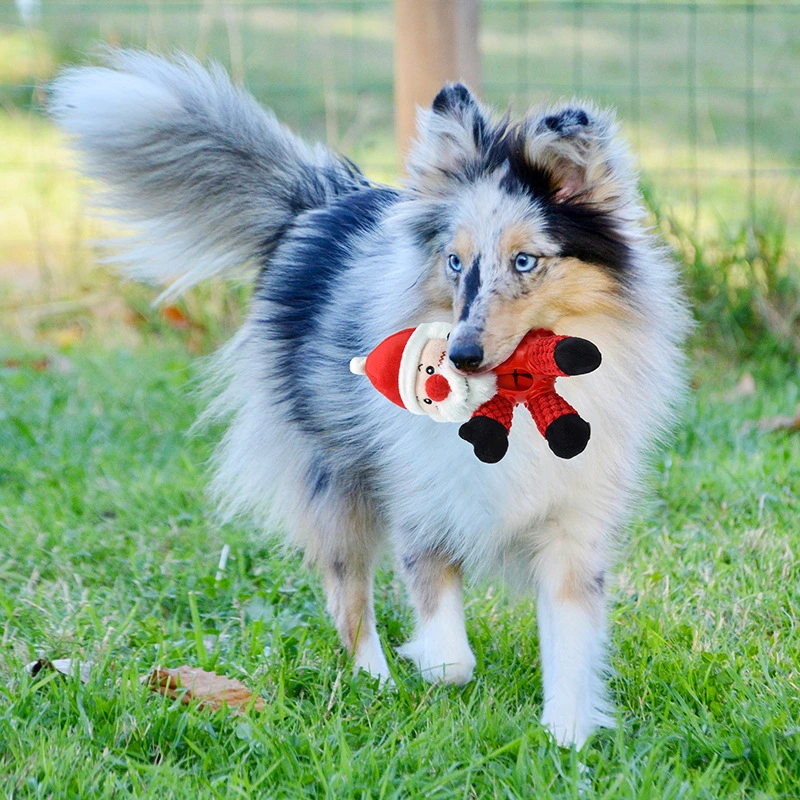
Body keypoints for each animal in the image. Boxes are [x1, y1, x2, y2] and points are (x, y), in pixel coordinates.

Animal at [48, 51, 688, 752]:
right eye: (454, 261)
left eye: (525, 261)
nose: (461, 355)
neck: (512, 395)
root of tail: (318, 204)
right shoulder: (419, 495)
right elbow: (447, 647)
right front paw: (433, 668)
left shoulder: (574, 520)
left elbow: (571, 636)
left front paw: (567, 735)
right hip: (335, 480)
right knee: (347, 593)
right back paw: (374, 682)